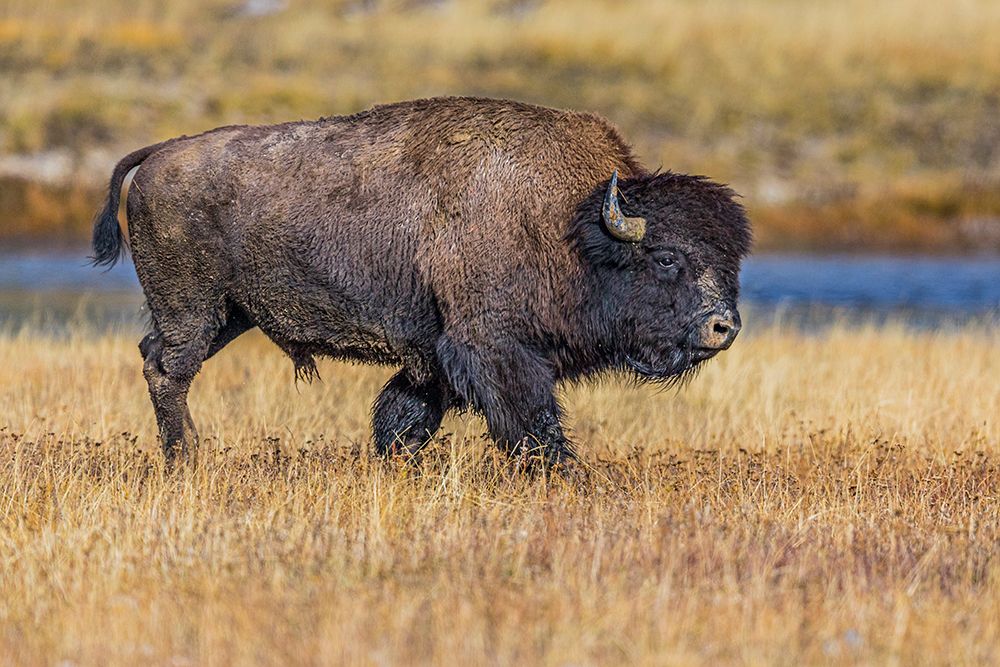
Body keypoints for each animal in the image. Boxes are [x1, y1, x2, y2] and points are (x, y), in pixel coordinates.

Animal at [92, 96, 751, 466]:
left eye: (732, 258)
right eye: (665, 258)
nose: (724, 327)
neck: (571, 224)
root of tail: (158, 154)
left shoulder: (431, 360)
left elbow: (402, 418)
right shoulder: (493, 350)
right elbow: (532, 423)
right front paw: (564, 475)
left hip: (231, 314)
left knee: (155, 357)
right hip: (194, 307)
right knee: (167, 370)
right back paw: (186, 460)